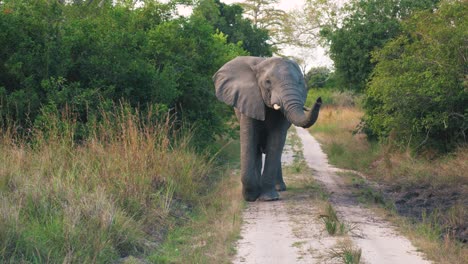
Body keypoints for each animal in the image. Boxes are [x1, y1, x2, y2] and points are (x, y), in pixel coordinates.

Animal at [213, 56, 320, 202]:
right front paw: (251, 196)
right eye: (267, 82)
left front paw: (268, 198)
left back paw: (279, 188)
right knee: (257, 149)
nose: (319, 100)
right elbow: (249, 139)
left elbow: (276, 141)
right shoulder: (249, 99)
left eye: (299, 82)